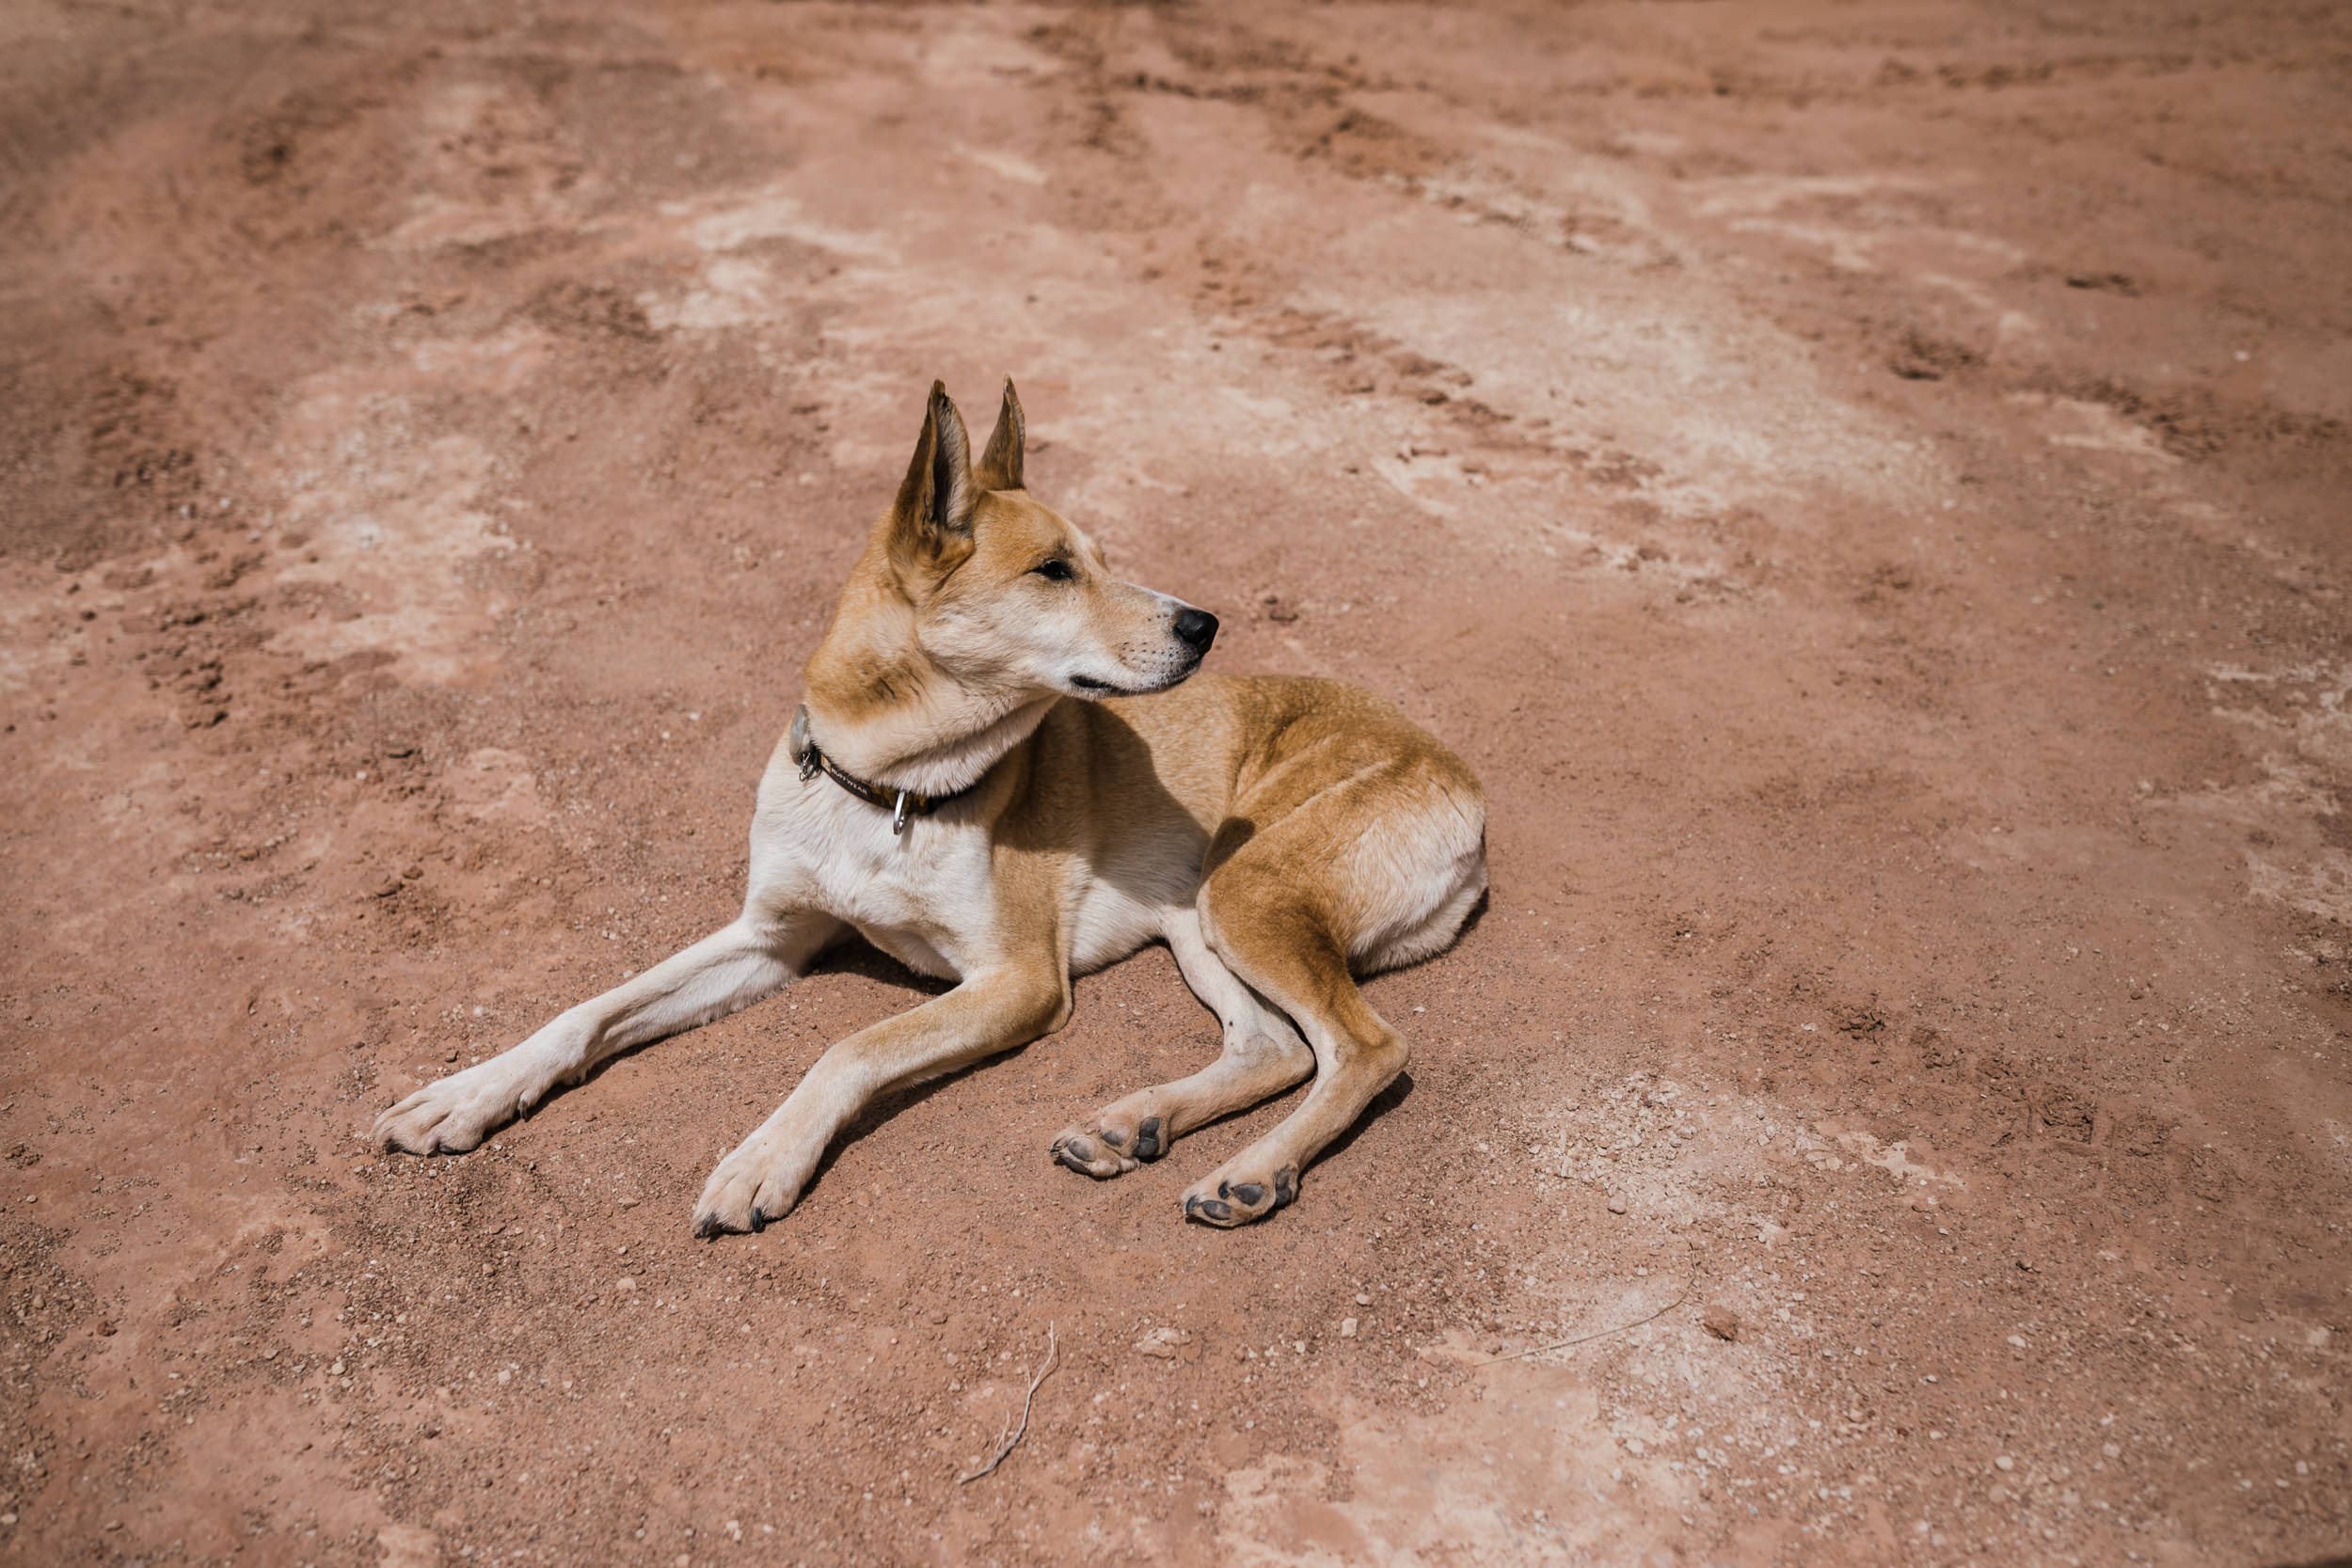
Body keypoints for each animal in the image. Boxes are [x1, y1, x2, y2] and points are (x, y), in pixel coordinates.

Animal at [381, 383, 1486, 1241]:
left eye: (1097, 557)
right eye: (1055, 569)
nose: (1205, 624)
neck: (888, 787)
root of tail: (1460, 773)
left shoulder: (1017, 981)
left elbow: (852, 1045)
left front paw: (762, 1157)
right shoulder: (770, 936)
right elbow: (590, 1007)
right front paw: (468, 1092)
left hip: (1246, 890)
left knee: (1366, 1048)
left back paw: (1250, 1172)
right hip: (1198, 918)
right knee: (1275, 1047)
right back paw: (1134, 1124)